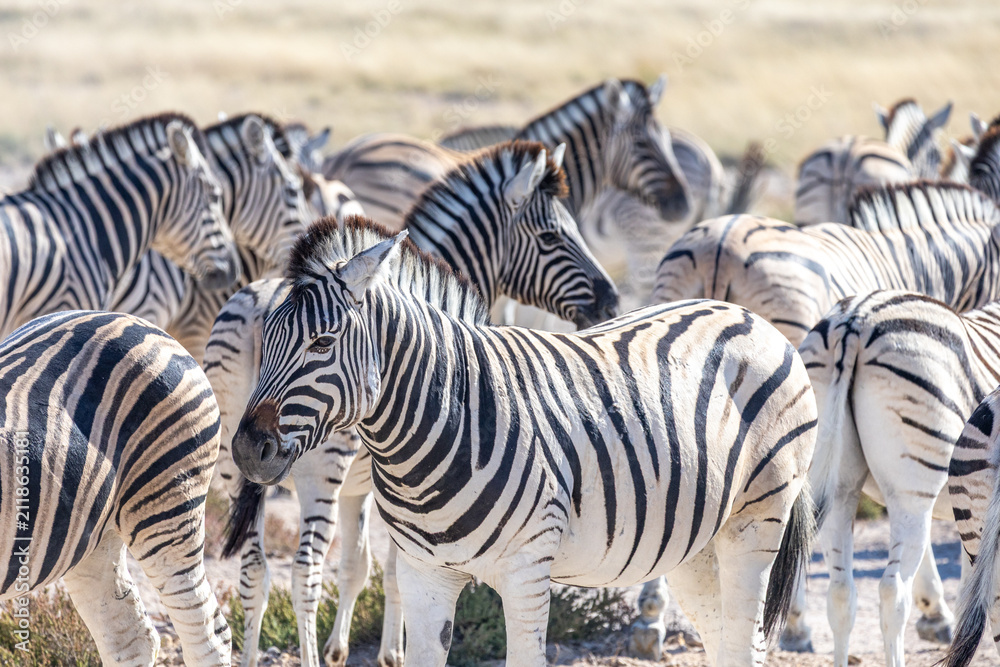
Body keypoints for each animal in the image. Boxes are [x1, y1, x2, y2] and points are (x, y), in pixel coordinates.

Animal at [209, 141, 618, 667]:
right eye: (551, 236)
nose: (611, 301)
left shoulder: (367, 488)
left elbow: (358, 564)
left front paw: (342, 649)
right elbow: (387, 569)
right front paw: (390, 653)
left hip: (233, 460)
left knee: (254, 570)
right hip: (316, 470)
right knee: (303, 572)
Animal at [229, 216, 817, 667]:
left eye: (322, 343)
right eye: (269, 338)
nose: (246, 450)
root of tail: (750, 317)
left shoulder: (527, 572)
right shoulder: (424, 575)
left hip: (756, 523)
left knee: (745, 638)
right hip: (695, 542)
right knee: (724, 638)